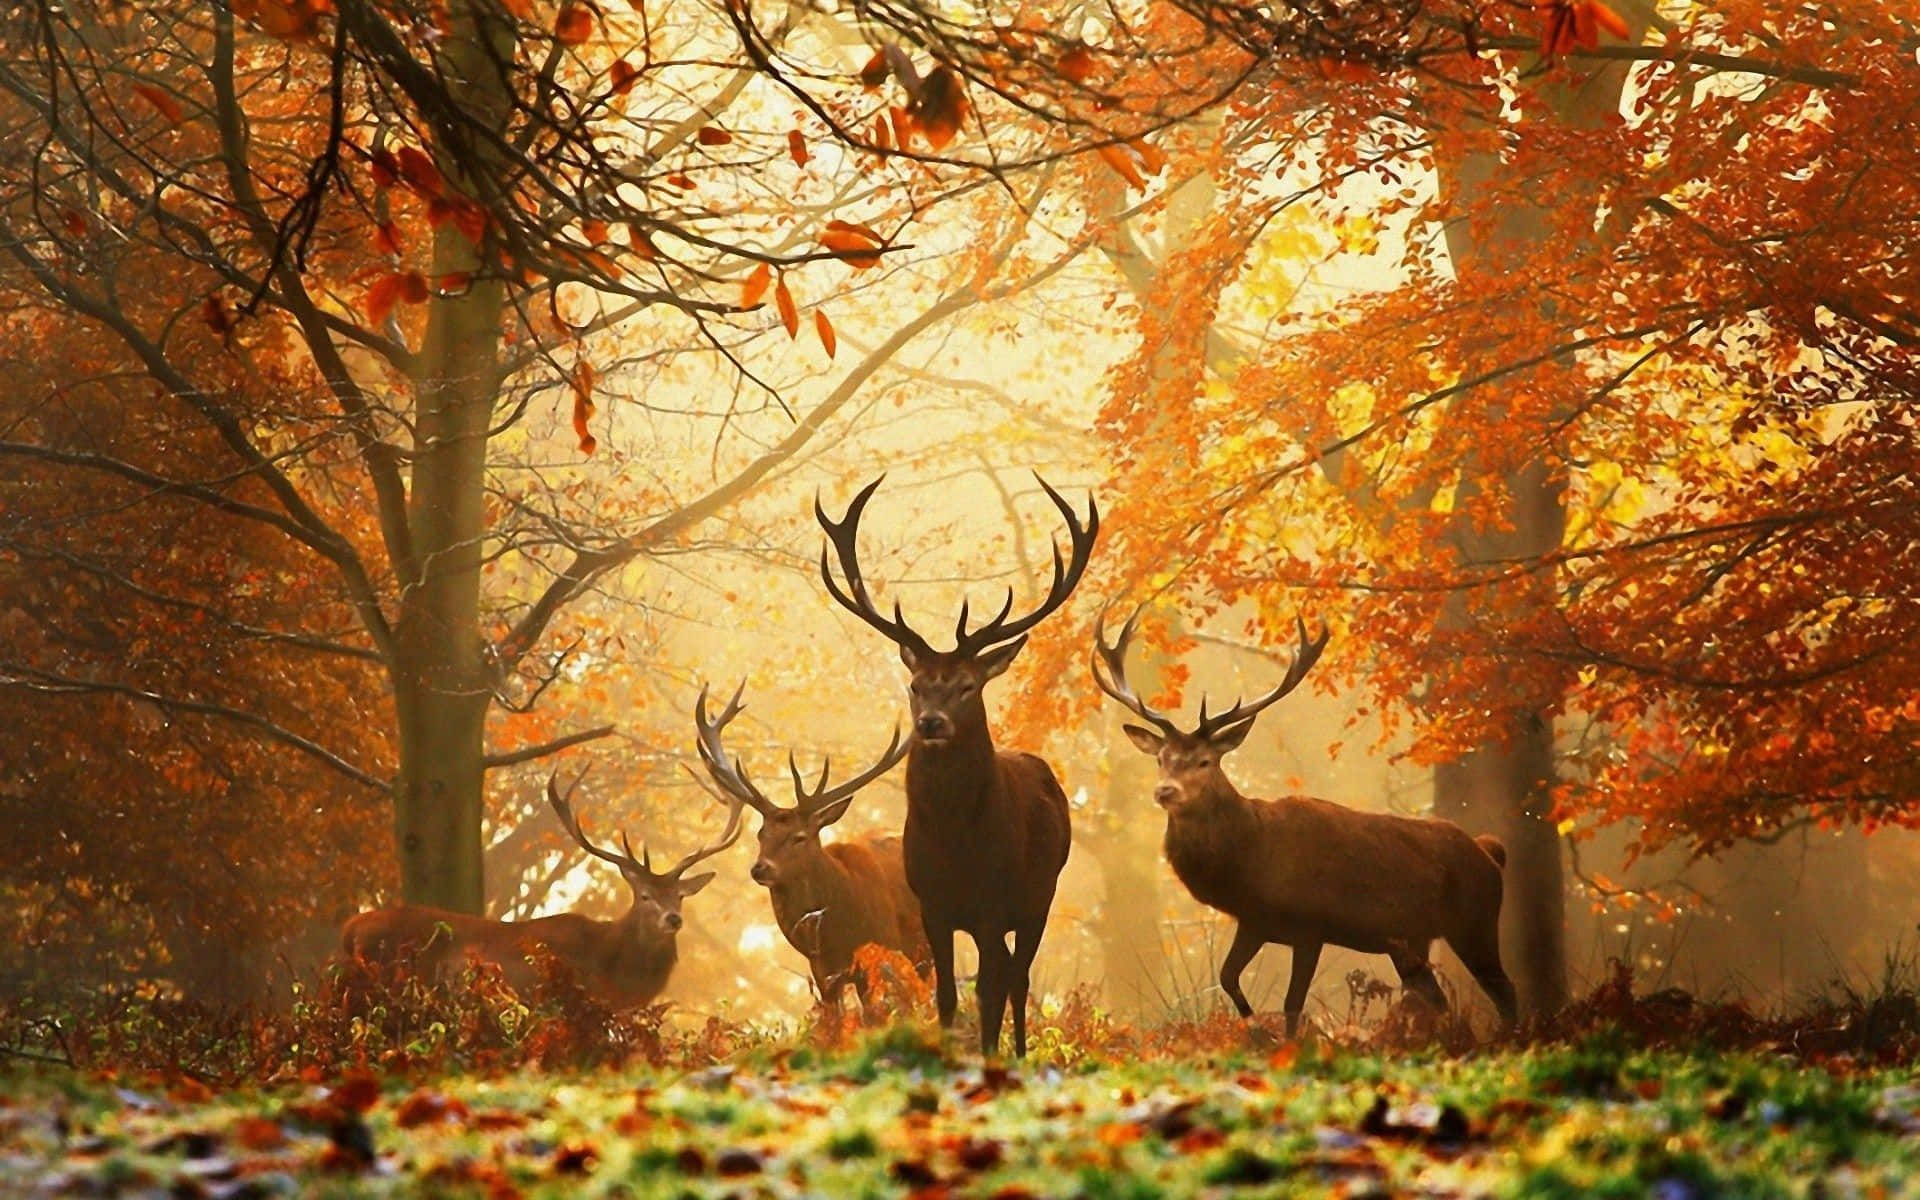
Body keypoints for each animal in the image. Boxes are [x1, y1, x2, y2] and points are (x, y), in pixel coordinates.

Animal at [815, 473, 1096, 1057]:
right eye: (916, 685)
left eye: (968, 685)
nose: (931, 723)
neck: (955, 845)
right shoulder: (933, 905)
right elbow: (946, 994)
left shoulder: (993, 903)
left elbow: (989, 991)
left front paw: (989, 1057)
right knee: (1009, 974)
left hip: (1040, 895)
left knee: (1018, 977)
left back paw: (1017, 1053)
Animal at [1092, 613, 1517, 1040]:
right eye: (1161, 758)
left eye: (1204, 761)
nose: (1164, 790)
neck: (1250, 860)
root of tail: (1489, 851)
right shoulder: (1255, 921)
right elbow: (1228, 977)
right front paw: (1255, 1031)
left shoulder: (1311, 925)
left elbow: (1292, 1003)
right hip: (1410, 941)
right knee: (1437, 999)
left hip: (1475, 920)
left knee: (1505, 991)